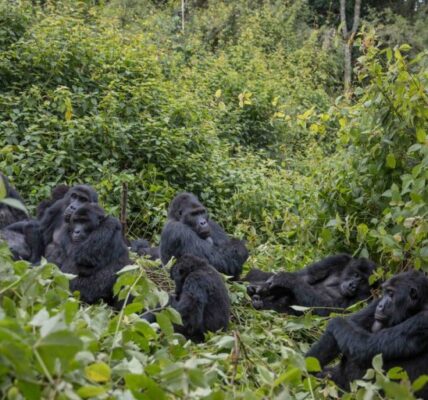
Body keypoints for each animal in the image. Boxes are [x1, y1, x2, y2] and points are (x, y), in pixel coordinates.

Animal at [306, 270, 428, 398]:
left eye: (391, 294)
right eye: (385, 293)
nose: (381, 305)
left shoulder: (423, 320)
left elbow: (366, 346)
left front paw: (336, 321)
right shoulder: (375, 302)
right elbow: (350, 325)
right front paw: (305, 368)